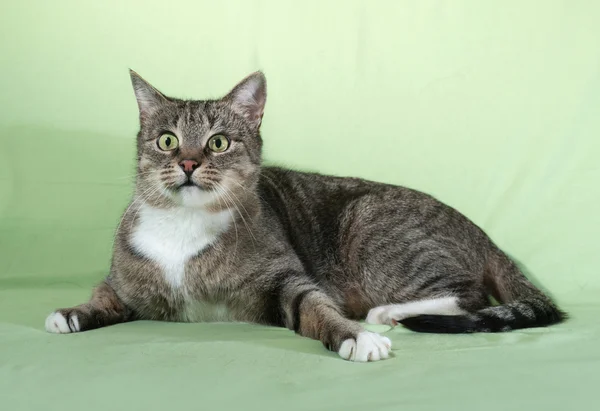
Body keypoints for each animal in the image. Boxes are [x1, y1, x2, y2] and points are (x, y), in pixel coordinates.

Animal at [44, 71, 564, 364]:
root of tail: (482, 234)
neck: (184, 227)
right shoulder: (126, 279)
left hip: (370, 224)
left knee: (468, 295)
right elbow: (105, 294)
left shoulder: (284, 279)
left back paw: (384, 315)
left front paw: (353, 337)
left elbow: (314, 307)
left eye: (218, 142)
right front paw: (74, 312)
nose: (188, 163)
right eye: (167, 140)